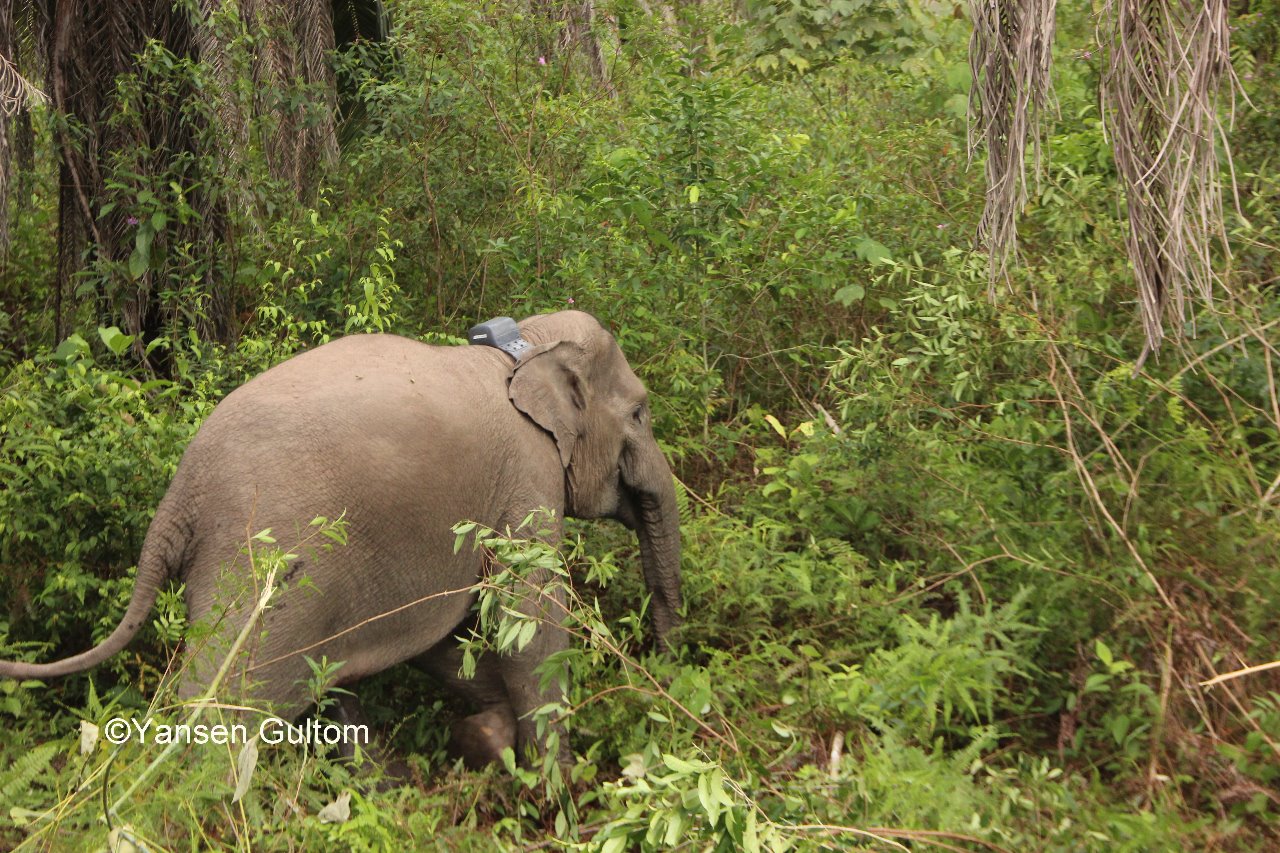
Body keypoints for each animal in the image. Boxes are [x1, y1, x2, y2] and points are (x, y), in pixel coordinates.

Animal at [0, 311, 680, 763]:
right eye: (640, 413)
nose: (664, 669)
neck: (523, 345)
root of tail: (178, 497)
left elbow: (449, 634)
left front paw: (486, 738)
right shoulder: (527, 472)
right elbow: (526, 617)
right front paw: (552, 784)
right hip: (259, 565)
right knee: (226, 698)